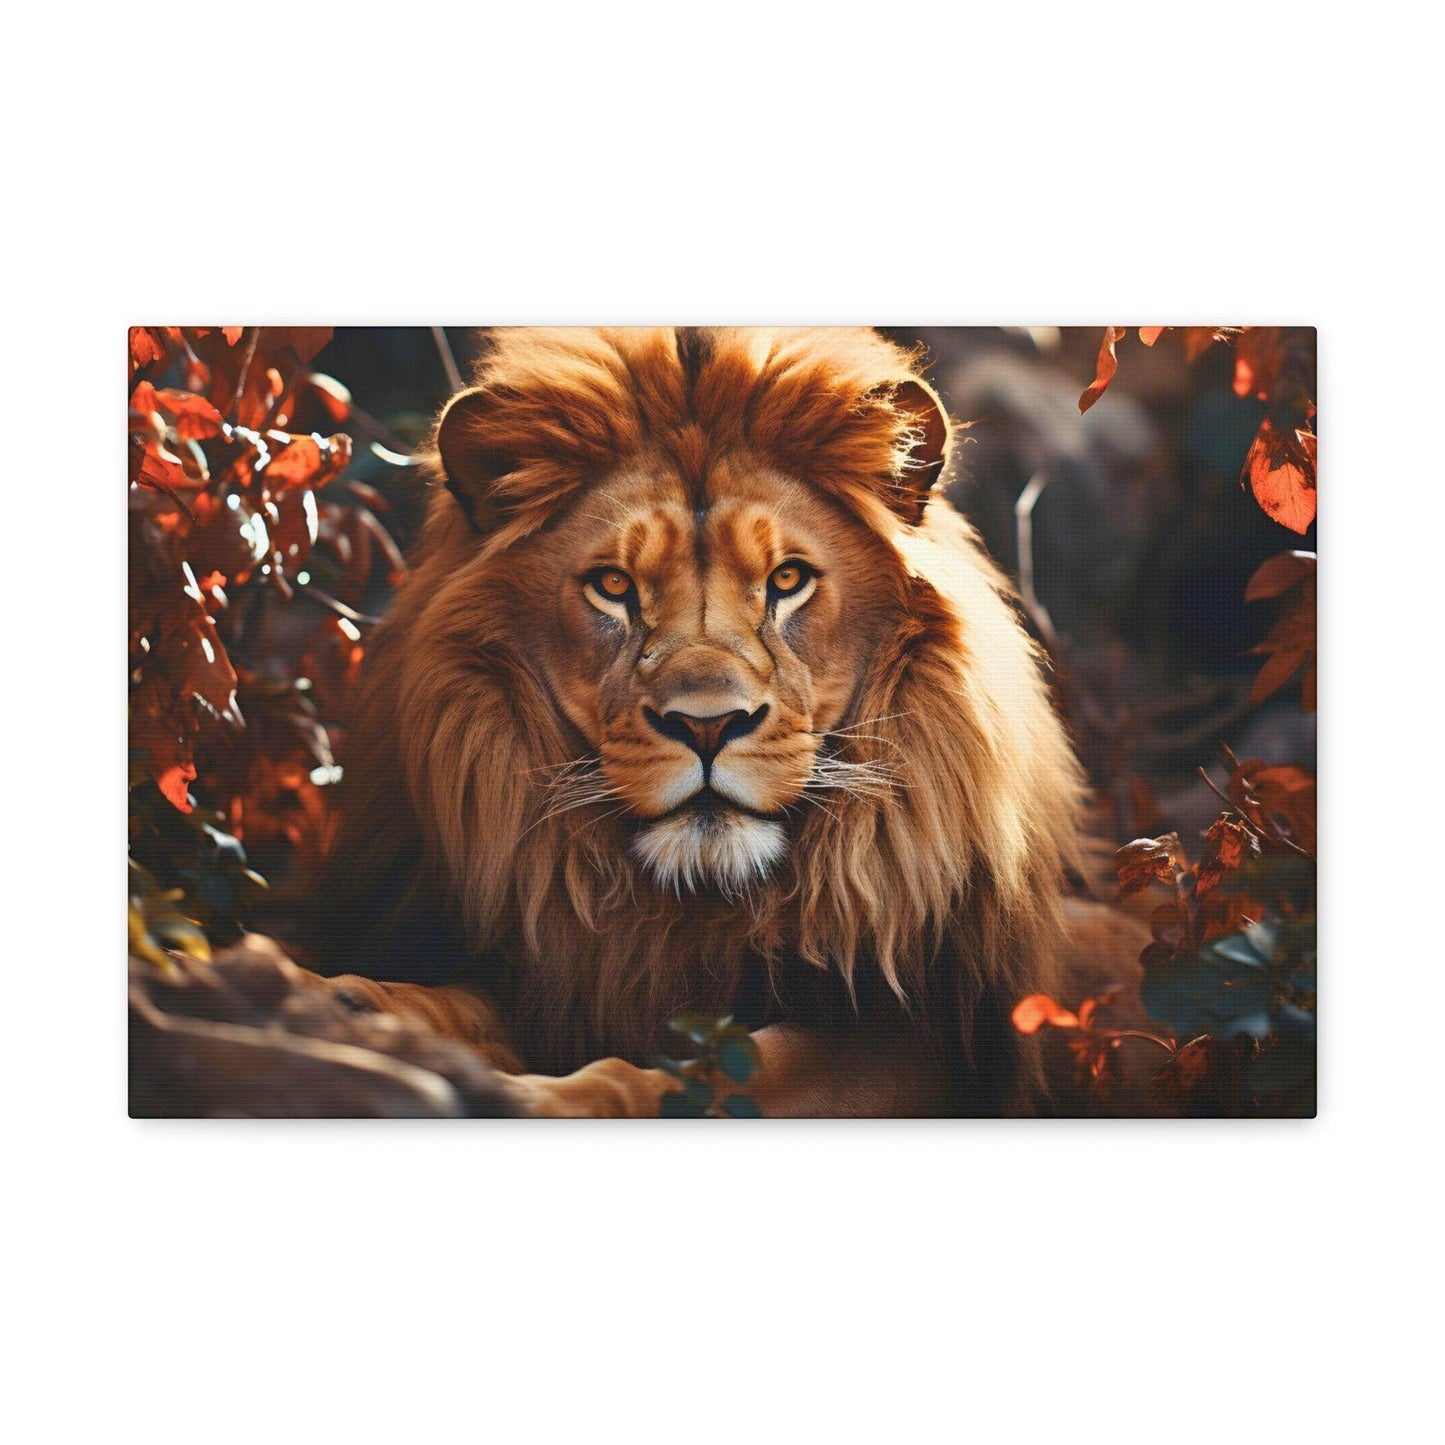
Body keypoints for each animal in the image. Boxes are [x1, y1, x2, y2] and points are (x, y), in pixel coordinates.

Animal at [311, 326, 1092, 1117]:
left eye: (786, 580)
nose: (708, 727)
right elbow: (451, 1001)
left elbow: (717, 1074)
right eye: (613, 585)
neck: (697, 903)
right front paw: (342, 1005)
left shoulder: (916, 1044)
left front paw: (539, 1099)